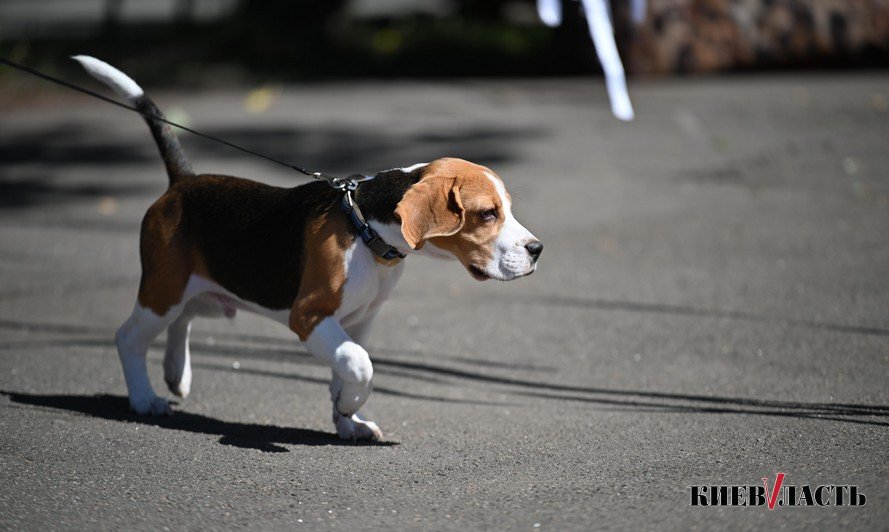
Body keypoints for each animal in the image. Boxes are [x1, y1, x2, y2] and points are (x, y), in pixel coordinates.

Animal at [74, 55, 540, 440]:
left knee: (183, 319)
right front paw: (350, 404)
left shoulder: (359, 320)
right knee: (129, 338)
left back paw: (176, 374)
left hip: (200, 291)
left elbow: (348, 364)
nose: (537, 250)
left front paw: (348, 421)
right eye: (487, 214)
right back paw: (144, 398)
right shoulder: (310, 316)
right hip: (164, 287)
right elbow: (361, 365)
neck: (365, 229)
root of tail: (181, 182)